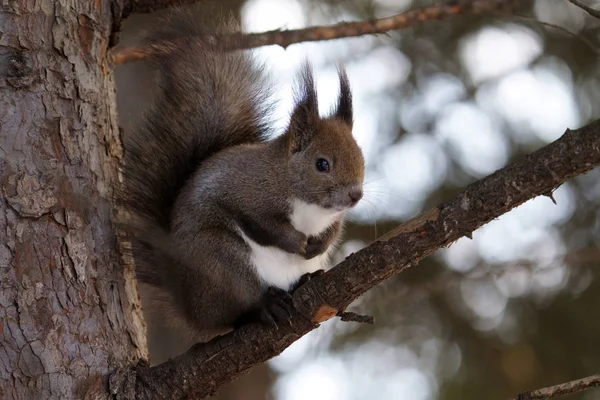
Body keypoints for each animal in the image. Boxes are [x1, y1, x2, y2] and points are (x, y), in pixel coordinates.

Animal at [119, 8, 364, 360]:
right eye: (322, 164)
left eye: (360, 155)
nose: (356, 195)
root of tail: (188, 303)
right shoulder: (248, 191)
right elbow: (263, 224)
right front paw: (296, 242)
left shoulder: (334, 218)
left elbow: (333, 231)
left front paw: (317, 245)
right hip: (222, 262)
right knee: (235, 313)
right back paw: (265, 306)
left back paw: (304, 280)